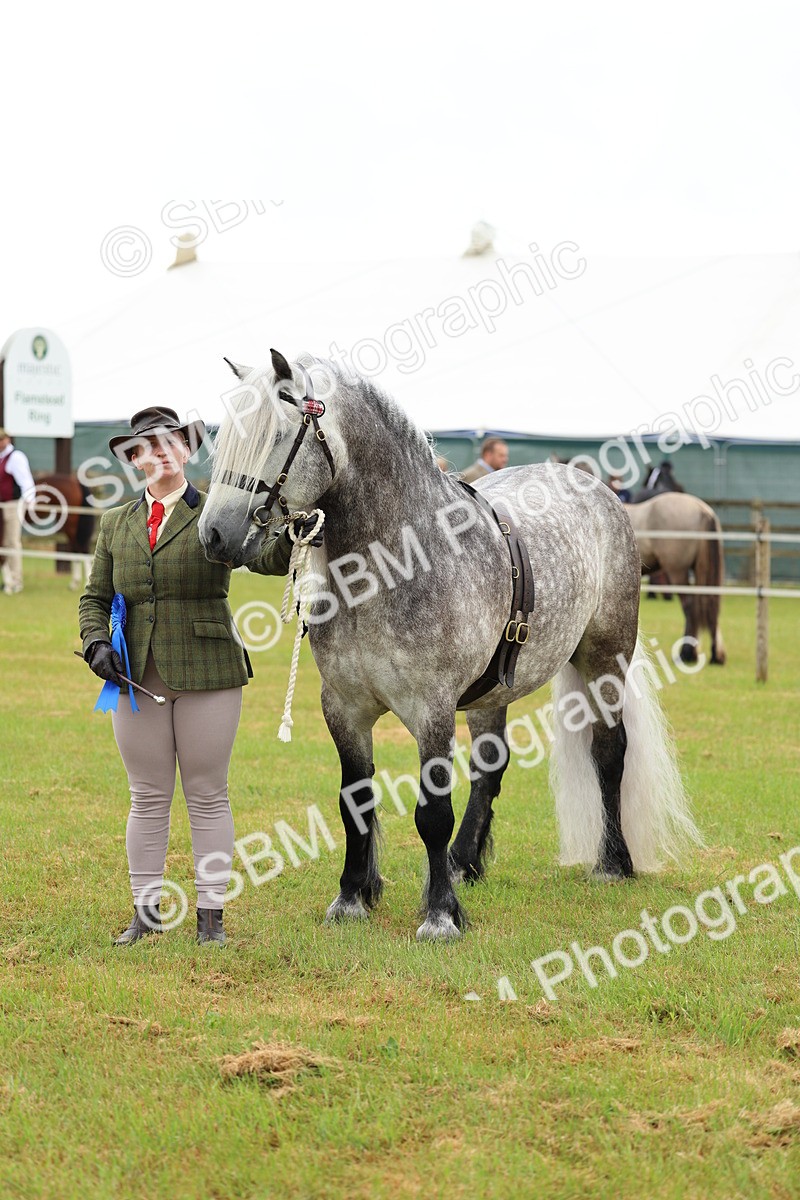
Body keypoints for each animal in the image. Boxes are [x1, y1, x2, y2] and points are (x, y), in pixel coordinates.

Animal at [198, 351, 700, 940]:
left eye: (277, 433)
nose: (214, 535)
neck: (396, 561)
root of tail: (594, 487)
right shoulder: (343, 707)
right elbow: (354, 803)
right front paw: (352, 897)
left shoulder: (432, 709)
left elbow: (432, 814)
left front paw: (439, 915)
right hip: (491, 694)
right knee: (491, 766)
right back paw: (465, 863)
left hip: (605, 660)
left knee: (609, 751)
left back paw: (612, 863)